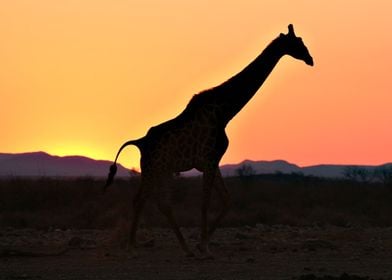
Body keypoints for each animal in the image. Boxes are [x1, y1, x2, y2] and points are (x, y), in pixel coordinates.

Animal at [104, 24, 312, 258]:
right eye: (298, 43)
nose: (310, 59)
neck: (224, 112)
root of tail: (140, 142)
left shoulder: (212, 161)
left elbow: (227, 200)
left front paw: (201, 245)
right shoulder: (209, 160)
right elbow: (205, 203)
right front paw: (205, 247)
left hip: (162, 170)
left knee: (161, 203)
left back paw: (185, 248)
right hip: (152, 169)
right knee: (141, 199)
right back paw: (132, 246)